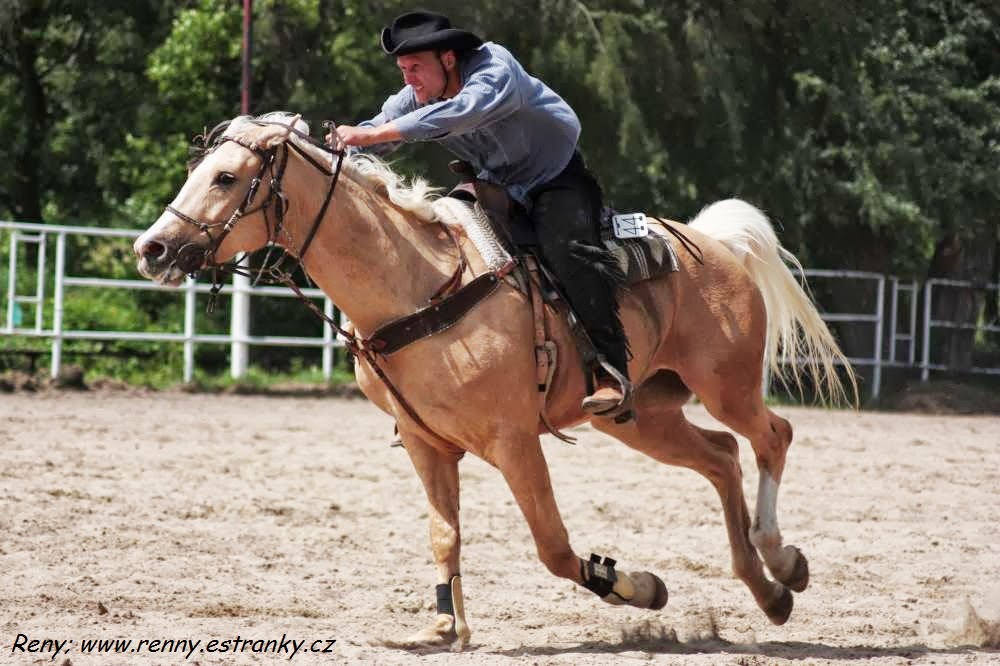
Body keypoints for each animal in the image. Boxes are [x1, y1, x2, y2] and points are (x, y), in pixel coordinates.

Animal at [135, 114, 860, 648]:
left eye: (227, 176)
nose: (152, 249)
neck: (421, 287)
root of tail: (715, 246)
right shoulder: (426, 443)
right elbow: (444, 533)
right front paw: (442, 627)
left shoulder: (516, 442)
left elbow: (555, 549)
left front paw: (638, 586)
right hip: (640, 416)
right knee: (722, 457)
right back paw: (769, 591)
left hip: (725, 386)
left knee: (771, 436)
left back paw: (781, 558)